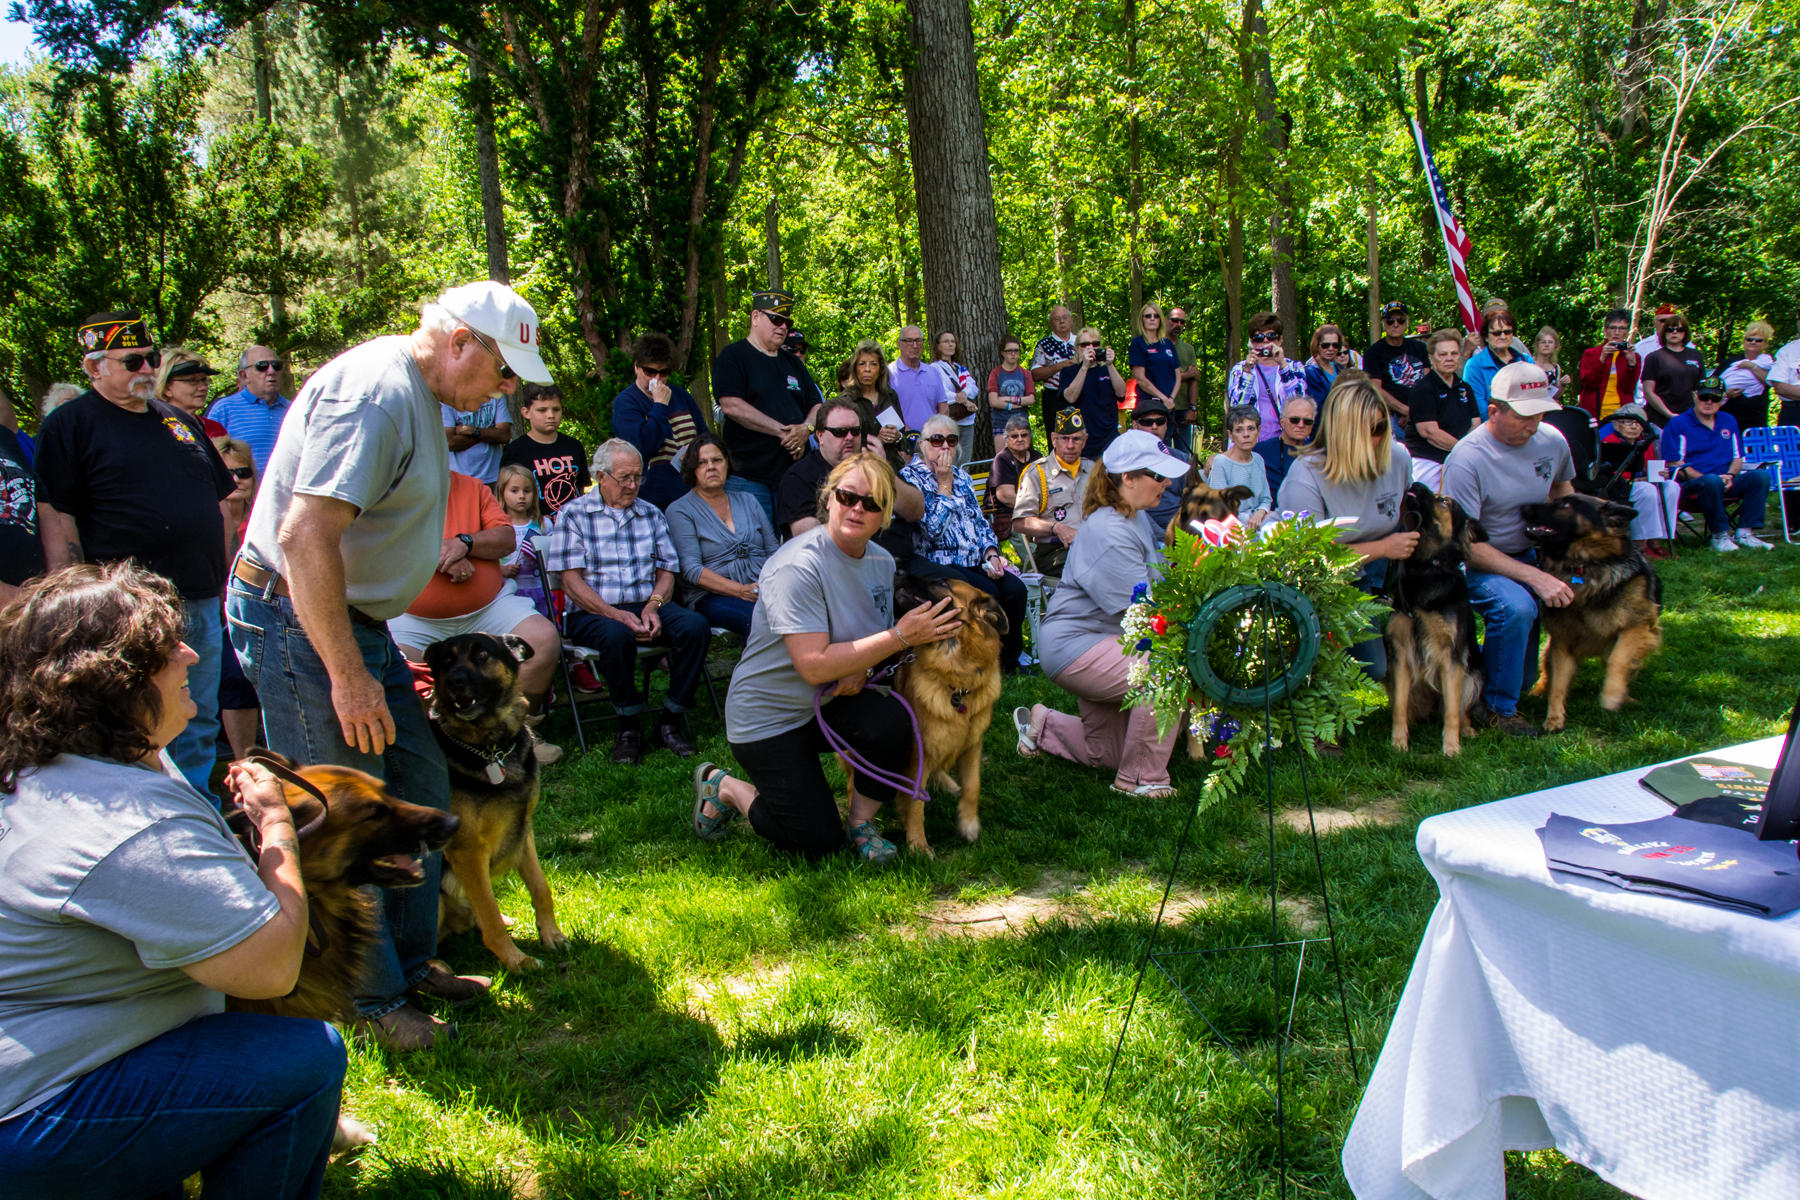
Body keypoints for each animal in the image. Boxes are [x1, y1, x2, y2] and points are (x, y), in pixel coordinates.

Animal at [424, 633, 565, 971]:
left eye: (482, 654)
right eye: (446, 660)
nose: (455, 680)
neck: (491, 750)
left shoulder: (522, 830)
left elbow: (541, 888)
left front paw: (551, 935)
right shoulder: (468, 852)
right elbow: (488, 915)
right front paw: (516, 960)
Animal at [885, 579, 1015, 852]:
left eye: (943, 582)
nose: (898, 571)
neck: (958, 685)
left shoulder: (973, 746)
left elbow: (973, 786)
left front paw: (968, 824)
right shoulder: (918, 754)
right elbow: (915, 803)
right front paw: (918, 845)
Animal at [1382, 482, 1483, 755]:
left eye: (1445, 502)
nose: (1415, 484)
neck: (1427, 566)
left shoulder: (1452, 657)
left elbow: (1452, 712)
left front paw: (1451, 747)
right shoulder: (1401, 653)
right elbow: (1399, 707)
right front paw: (1398, 743)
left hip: (1472, 674)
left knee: (1460, 708)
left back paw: (1467, 729)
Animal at [1526, 489, 1663, 734]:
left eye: (1566, 504)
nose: (1523, 508)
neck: (1581, 566)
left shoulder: (1639, 625)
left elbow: (1618, 660)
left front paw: (1611, 697)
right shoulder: (1562, 641)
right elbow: (1558, 683)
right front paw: (1554, 718)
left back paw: (1626, 697)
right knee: (1547, 671)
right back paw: (1538, 691)